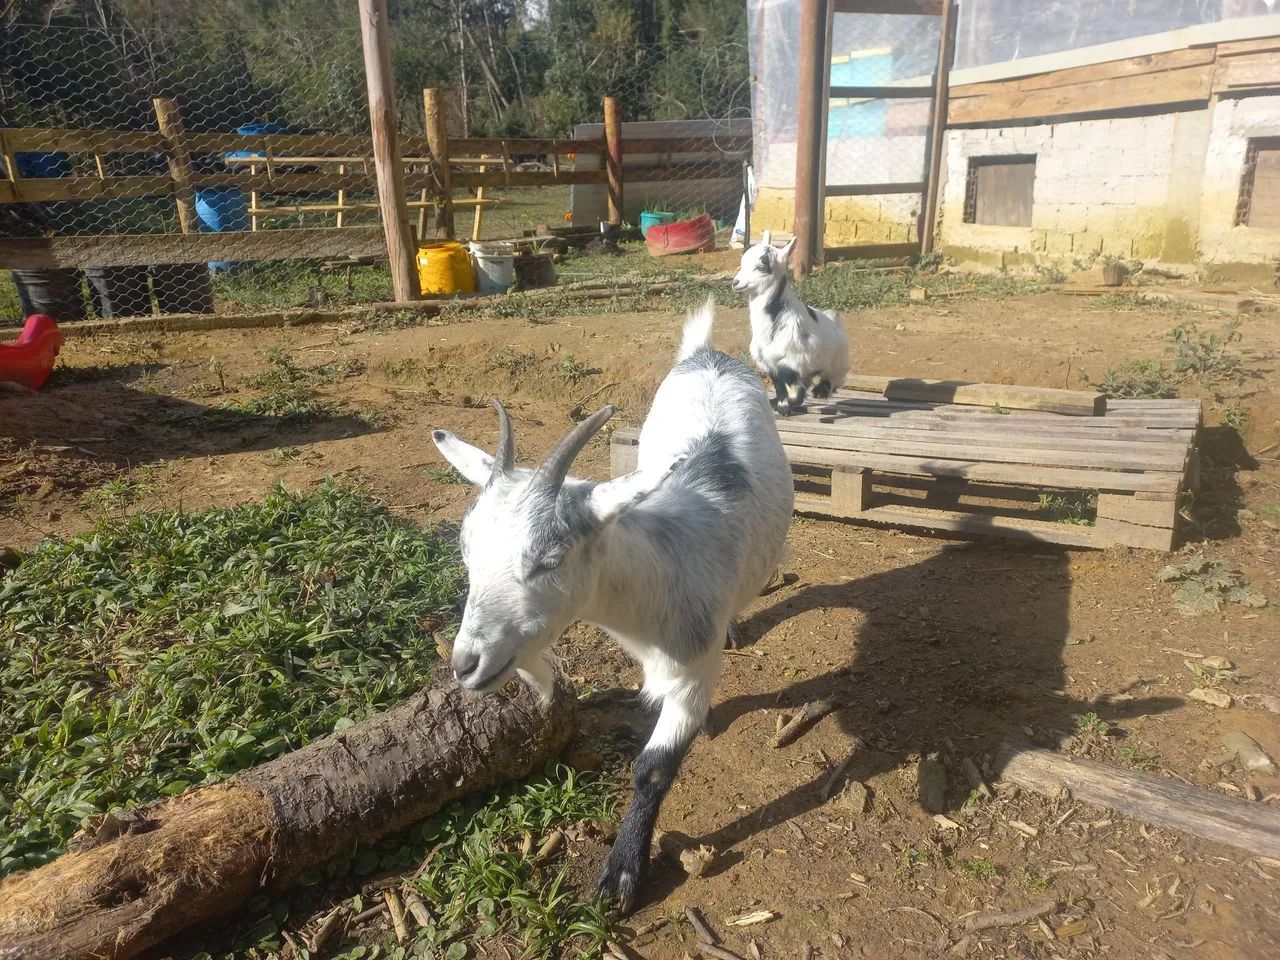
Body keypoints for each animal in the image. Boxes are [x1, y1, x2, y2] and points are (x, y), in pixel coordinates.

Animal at [430, 298, 793, 913]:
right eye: (465, 544)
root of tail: (708, 353)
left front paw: (622, 874)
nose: (466, 664)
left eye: (550, 558)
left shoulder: (693, 672)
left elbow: (653, 770)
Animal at [731, 229, 850, 415]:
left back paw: (821, 391)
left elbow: (797, 395)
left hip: (838, 362)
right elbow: (781, 390)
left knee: (833, 378)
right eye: (742, 263)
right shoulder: (772, 366)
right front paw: (780, 405)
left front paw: (787, 406)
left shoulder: (792, 364)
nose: (736, 283)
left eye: (762, 267)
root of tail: (833, 319)